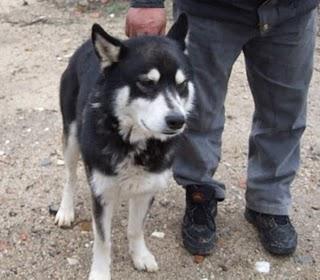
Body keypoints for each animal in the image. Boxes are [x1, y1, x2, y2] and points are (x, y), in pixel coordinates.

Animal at [54, 13, 194, 280]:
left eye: (182, 84)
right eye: (147, 83)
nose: (177, 120)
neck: (133, 143)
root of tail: (86, 46)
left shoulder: (147, 189)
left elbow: (136, 229)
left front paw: (140, 256)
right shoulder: (101, 193)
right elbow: (103, 240)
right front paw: (100, 273)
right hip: (72, 139)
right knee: (70, 176)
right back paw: (65, 210)